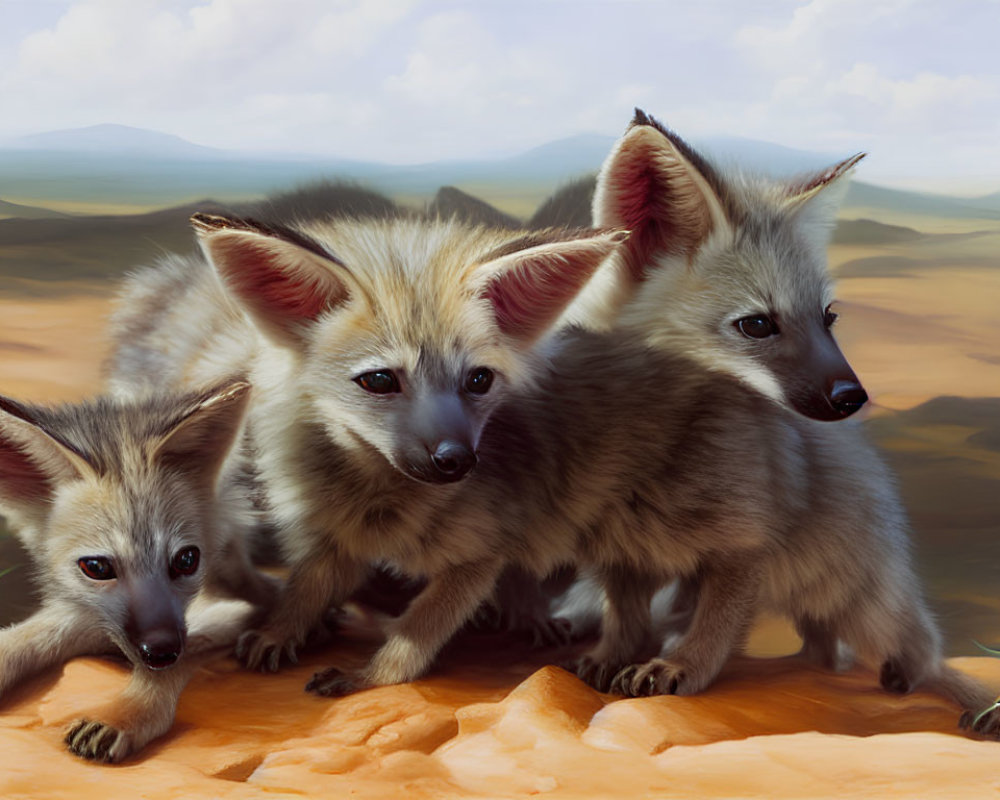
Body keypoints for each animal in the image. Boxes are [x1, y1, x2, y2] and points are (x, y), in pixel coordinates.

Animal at [0, 382, 278, 764]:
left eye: (186, 560)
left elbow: (177, 661)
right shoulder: (89, 612)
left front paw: (122, 716)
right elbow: (28, 637)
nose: (160, 651)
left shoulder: (249, 603)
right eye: (97, 568)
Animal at [107, 211, 624, 680]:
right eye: (378, 380)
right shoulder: (324, 525)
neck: (382, 499)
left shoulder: (493, 520)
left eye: (479, 380)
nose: (455, 460)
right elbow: (306, 584)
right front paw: (282, 631)